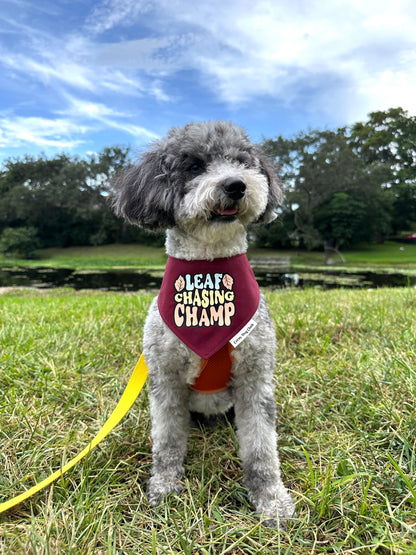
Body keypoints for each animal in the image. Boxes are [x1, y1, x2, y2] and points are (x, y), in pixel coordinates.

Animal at [113, 119, 296, 528]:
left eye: (242, 162)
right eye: (194, 166)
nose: (236, 184)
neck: (209, 270)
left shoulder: (254, 379)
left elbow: (262, 448)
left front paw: (271, 500)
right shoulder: (165, 381)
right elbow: (166, 441)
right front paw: (164, 487)